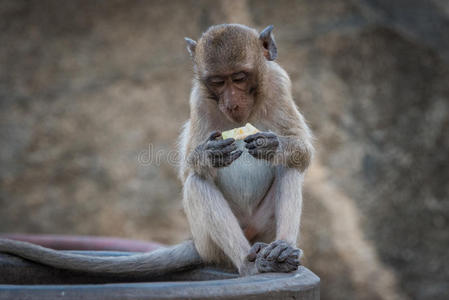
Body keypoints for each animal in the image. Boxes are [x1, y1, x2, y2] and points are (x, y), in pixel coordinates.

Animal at [0, 23, 312, 276]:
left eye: (239, 77)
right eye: (217, 82)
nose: (232, 103)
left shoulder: (279, 83)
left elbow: (302, 152)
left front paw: (271, 145)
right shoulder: (198, 99)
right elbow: (189, 171)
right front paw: (209, 155)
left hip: (262, 229)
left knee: (289, 168)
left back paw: (281, 251)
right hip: (210, 244)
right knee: (197, 183)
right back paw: (252, 266)